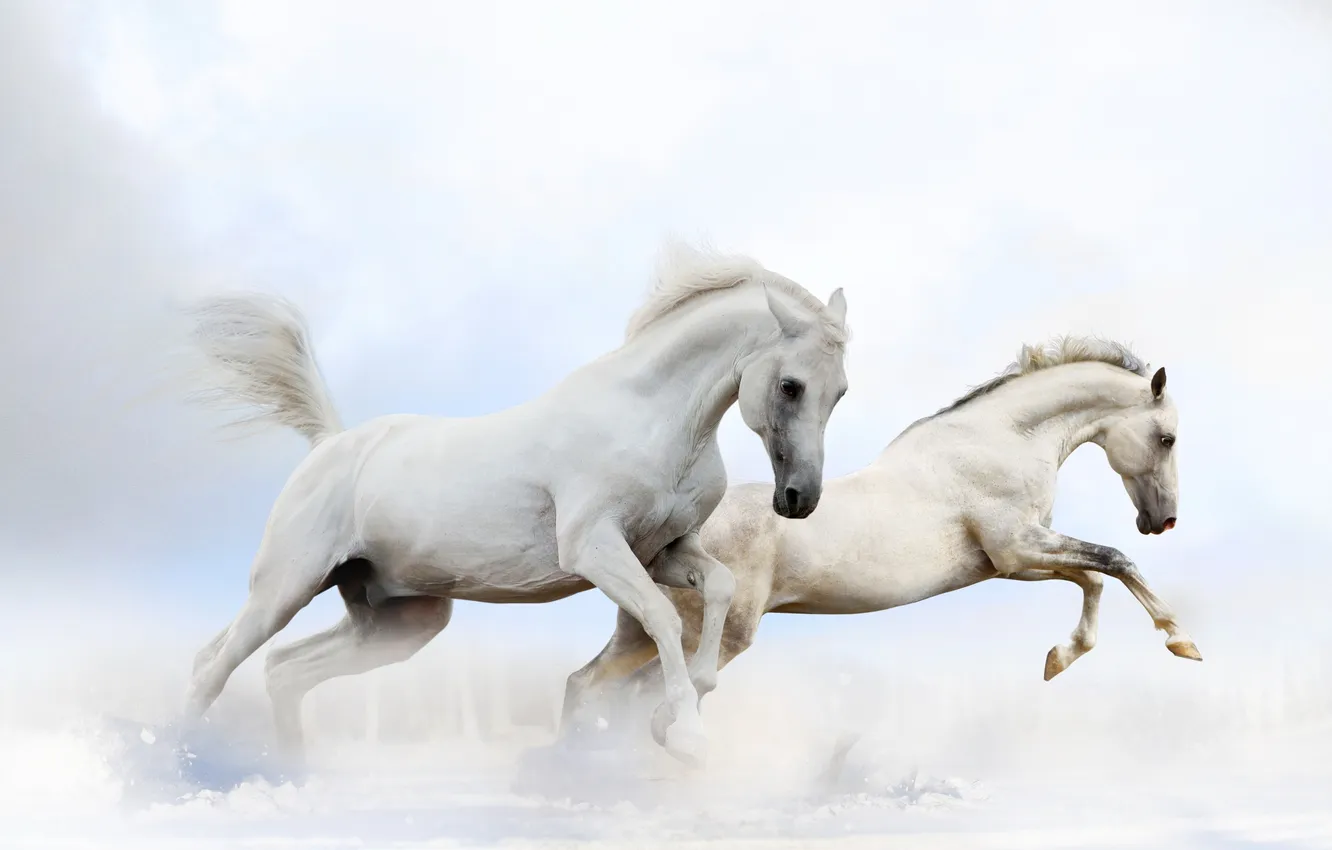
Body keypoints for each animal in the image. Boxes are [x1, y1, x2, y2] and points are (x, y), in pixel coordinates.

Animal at [178, 243, 851, 766]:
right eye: (791, 386)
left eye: (840, 392)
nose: (799, 499)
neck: (655, 421)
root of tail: (329, 444)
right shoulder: (595, 549)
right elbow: (662, 617)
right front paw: (685, 735)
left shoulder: (663, 552)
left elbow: (718, 588)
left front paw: (677, 714)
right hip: (284, 588)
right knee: (213, 667)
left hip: (398, 621)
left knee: (283, 670)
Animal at [561, 336, 1200, 735]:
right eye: (1167, 438)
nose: (1164, 520)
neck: (1002, 439)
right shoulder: (1018, 545)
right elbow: (1115, 560)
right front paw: (1181, 642)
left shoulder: (1011, 561)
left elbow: (1093, 577)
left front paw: (1058, 659)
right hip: (718, 636)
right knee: (652, 694)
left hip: (643, 634)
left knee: (583, 685)